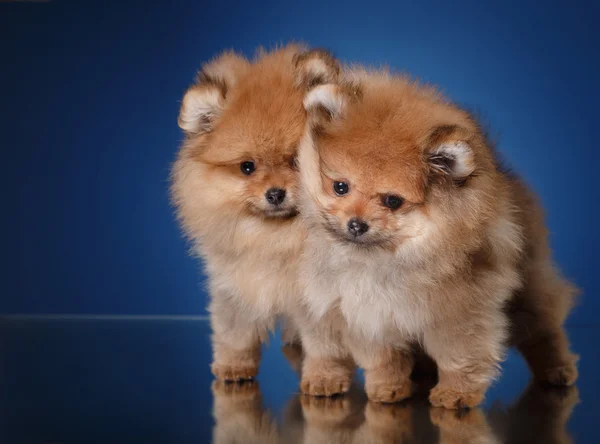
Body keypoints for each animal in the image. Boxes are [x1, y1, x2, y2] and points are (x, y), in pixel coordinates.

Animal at [172, 45, 342, 382]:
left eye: (295, 161)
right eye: (247, 167)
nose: (275, 193)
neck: (274, 239)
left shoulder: (320, 299)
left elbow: (324, 342)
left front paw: (324, 377)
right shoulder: (236, 284)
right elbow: (235, 331)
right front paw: (234, 365)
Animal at [298, 68, 580, 410]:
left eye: (392, 201)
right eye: (340, 187)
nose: (355, 224)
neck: (389, 260)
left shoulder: (459, 312)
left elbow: (459, 355)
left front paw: (456, 393)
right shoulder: (371, 315)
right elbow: (384, 357)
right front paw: (388, 388)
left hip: (530, 285)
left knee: (544, 327)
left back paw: (557, 369)